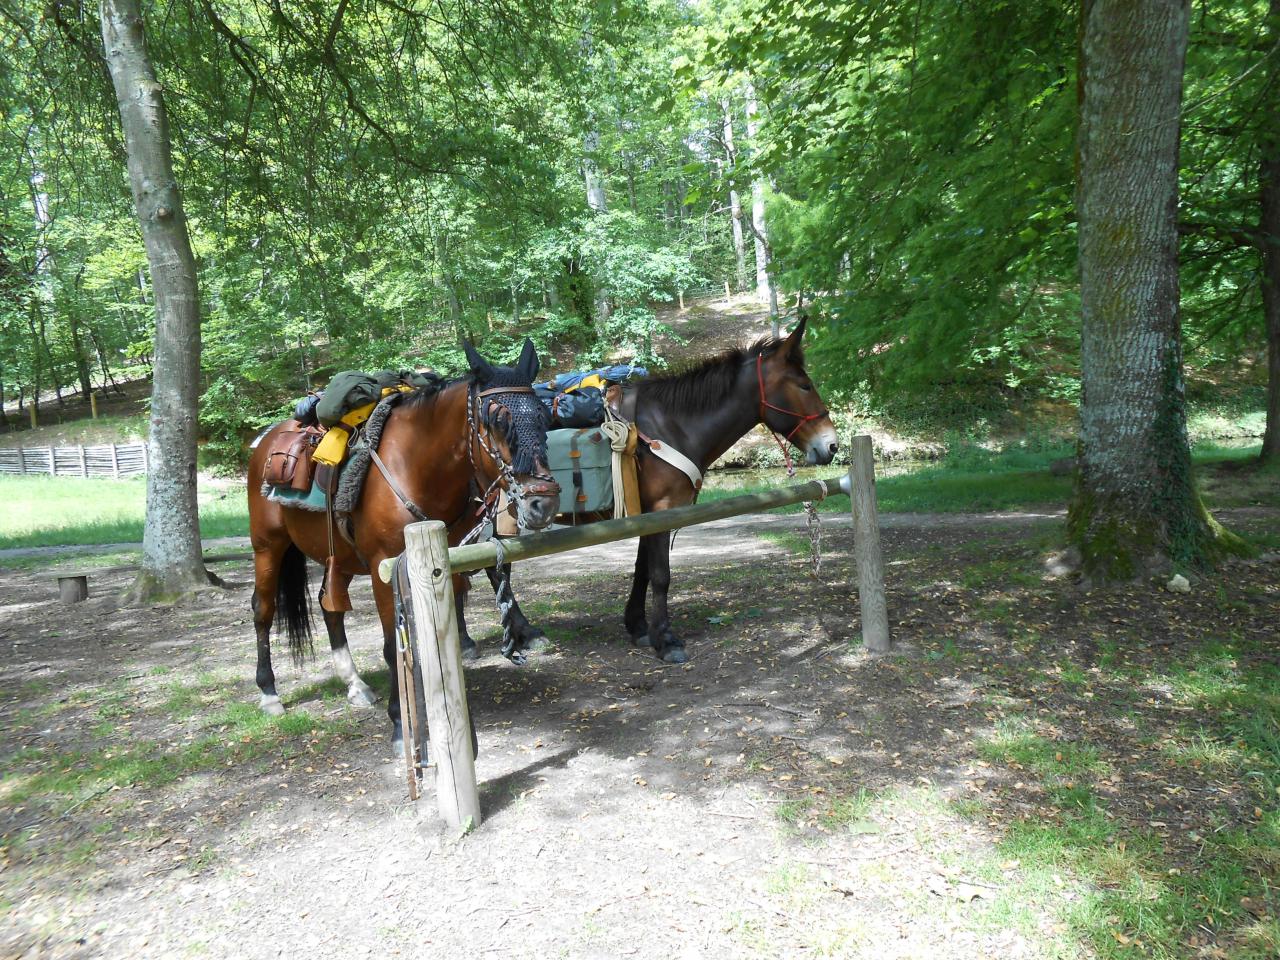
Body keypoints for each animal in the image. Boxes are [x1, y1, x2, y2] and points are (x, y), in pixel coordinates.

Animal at [247, 343, 558, 747]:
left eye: (543, 417)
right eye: (495, 422)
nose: (542, 503)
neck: (418, 467)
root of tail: (266, 442)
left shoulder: (450, 556)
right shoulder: (385, 566)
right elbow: (393, 644)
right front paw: (400, 721)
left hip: (338, 556)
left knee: (330, 609)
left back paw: (355, 684)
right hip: (268, 546)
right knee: (263, 610)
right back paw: (269, 693)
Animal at [468, 320, 839, 665]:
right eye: (804, 385)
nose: (832, 445)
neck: (670, 426)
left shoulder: (647, 514)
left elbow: (642, 570)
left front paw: (638, 626)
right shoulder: (662, 509)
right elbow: (660, 575)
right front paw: (666, 639)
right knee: (490, 569)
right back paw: (507, 635)